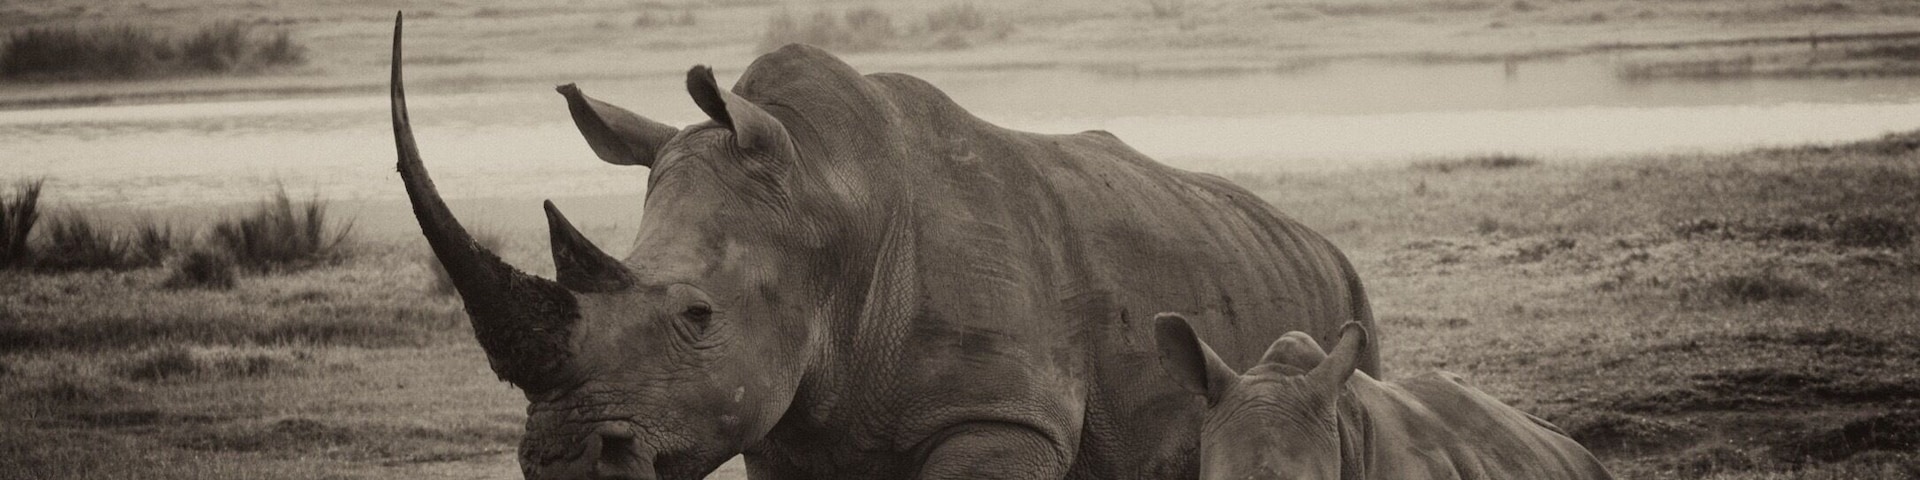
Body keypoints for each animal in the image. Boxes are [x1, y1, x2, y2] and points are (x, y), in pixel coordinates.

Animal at [389, 13, 1379, 480]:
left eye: (698, 315)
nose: (563, 460)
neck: (828, 204)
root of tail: (1325, 246)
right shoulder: (787, 430)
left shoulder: (1001, 419)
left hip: (1348, 323)